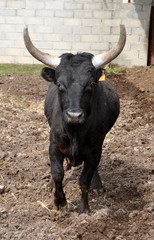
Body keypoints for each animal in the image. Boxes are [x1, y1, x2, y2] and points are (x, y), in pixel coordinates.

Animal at [23, 23, 126, 212]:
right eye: (59, 84)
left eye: (91, 84)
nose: (74, 115)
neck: (75, 131)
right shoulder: (54, 145)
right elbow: (58, 174)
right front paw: (59, 201)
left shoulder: (95, 150)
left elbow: (84, 180)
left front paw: (84, 208)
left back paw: (97, 185)